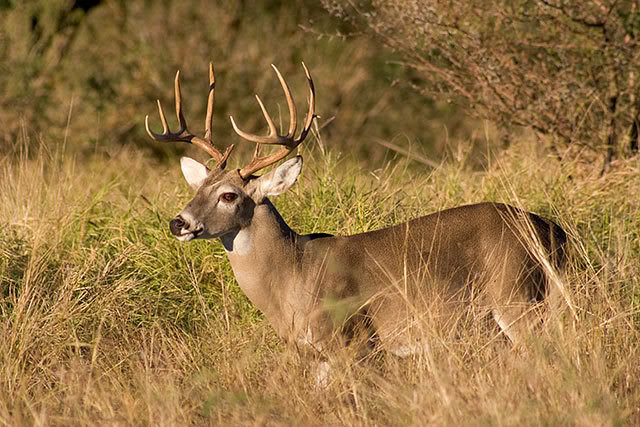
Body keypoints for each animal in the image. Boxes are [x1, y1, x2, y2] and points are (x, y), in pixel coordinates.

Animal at [145, 63, 564, 384]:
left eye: (229, 195)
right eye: (197, 187)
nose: (179, 223)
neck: (293, 275)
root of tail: (550, 229)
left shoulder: (354, 341)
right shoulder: (317, 356)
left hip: (517, 295)